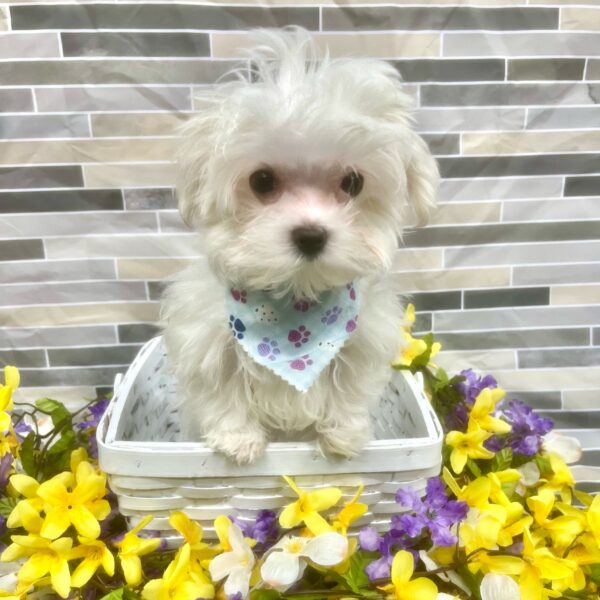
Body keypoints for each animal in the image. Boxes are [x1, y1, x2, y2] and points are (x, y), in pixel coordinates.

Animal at [162, 28, 438, 464]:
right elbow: (222, 392)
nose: (311, 235)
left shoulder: (363, 341)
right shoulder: (206, 342)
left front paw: (343, 437)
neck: (296, 303)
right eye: (261, 181)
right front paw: (238, 441)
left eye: (352, 182)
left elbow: (350, 387)